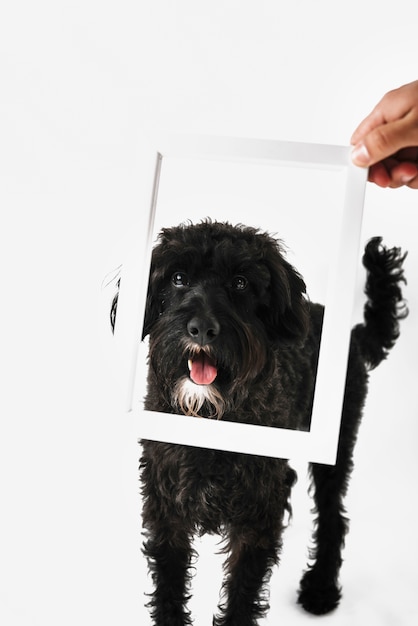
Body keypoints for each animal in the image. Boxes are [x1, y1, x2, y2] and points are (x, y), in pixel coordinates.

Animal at [110, 221, 404, 624]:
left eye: (240, 282)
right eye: (178, 278)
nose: (202, 328)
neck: (211, 417)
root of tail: (352, 337)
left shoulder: (255, 515)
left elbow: (243, 588)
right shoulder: (165, 504)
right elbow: (169, 583)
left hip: (337, 445)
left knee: (333, 515)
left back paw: (321, 588)